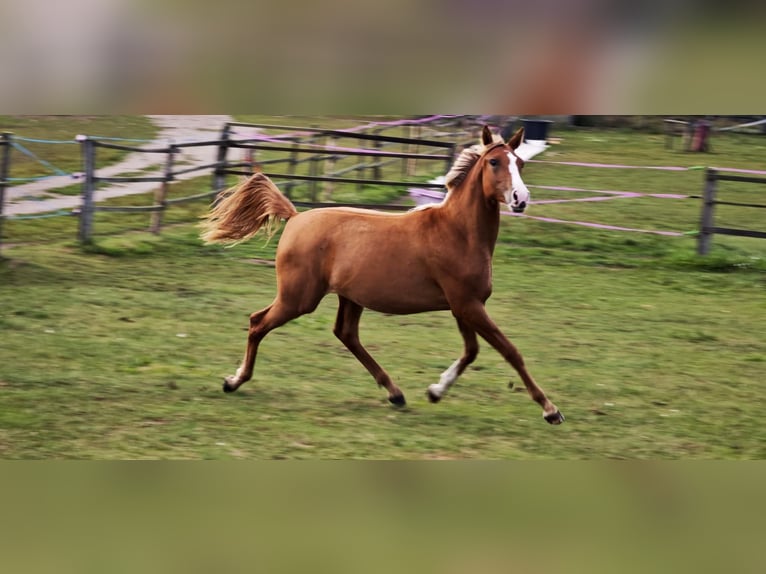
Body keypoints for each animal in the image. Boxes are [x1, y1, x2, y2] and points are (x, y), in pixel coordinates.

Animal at [201, 125, 564, 425]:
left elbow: (471, 351)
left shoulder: (465, 306)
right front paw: (550, 410)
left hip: (348, 297)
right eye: (494, 163)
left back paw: (395, 393)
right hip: (299, 298)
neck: (457, 233)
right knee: (258, 322)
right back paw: (234, 381)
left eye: (520, 162)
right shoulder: (467, 305)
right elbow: (510, 351)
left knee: (345, 334)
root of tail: (295, 217)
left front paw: (435, 391)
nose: (520, 199)